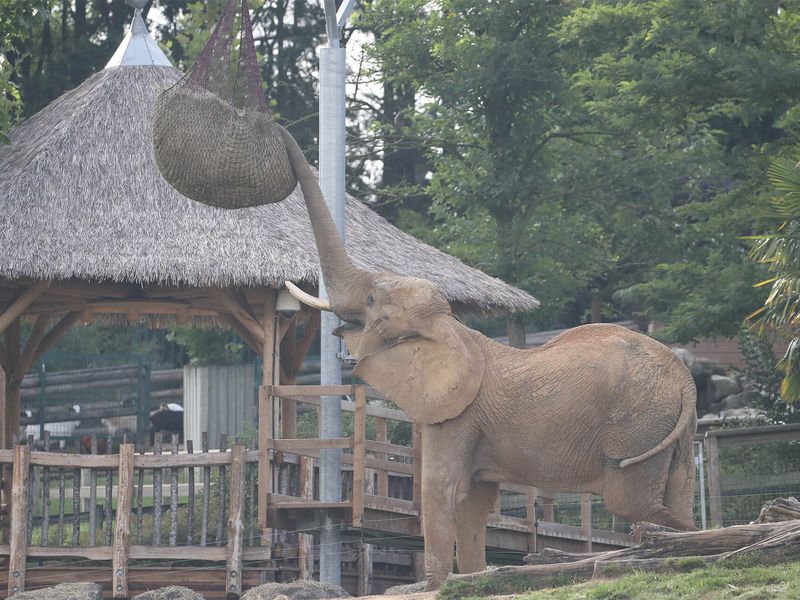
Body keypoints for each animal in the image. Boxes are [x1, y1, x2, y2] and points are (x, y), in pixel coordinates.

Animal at [277, 127, 698, 588]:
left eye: (372, 301)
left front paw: (430, 586)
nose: (274, 127)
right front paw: (474, 579)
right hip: (669, 426)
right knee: (679, 496)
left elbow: (441, 492)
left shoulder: (456, 416)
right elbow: (473, 505)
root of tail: (685, 378)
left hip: (635, 427)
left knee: (635, 504)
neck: (452, 329)